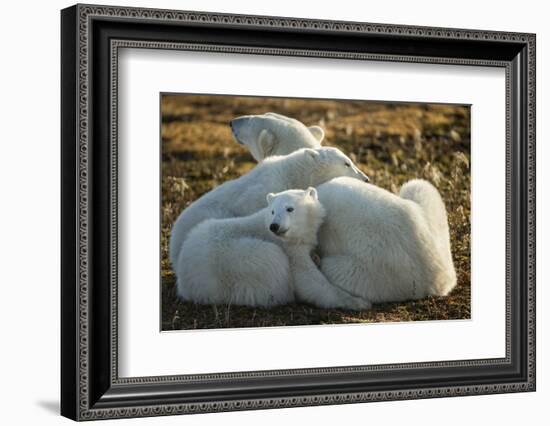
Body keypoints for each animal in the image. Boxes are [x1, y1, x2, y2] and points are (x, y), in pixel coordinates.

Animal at [178, 187, 370, 310]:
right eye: (272, 211)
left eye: (289, 208)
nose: (274, 226)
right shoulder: (290, 250)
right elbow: (310, 281)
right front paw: (358, 302)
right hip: (237, 262)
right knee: (272, 261)